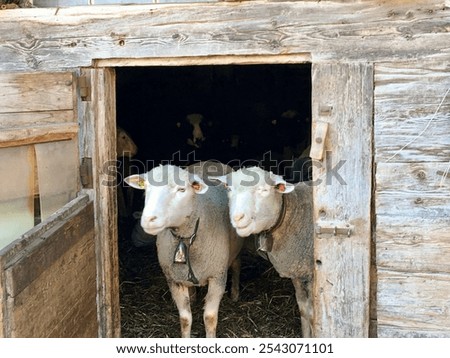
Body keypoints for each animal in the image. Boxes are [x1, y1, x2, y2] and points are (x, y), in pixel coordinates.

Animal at [125, 165, 243, 338]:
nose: (148, 219)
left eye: (181, 189)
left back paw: (235, 294)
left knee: (236, 265)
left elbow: (210, 318)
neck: (186, 238)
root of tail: (211, 162)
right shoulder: (174, 280)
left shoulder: (217, 277)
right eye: (146, 188)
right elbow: (185, 319)